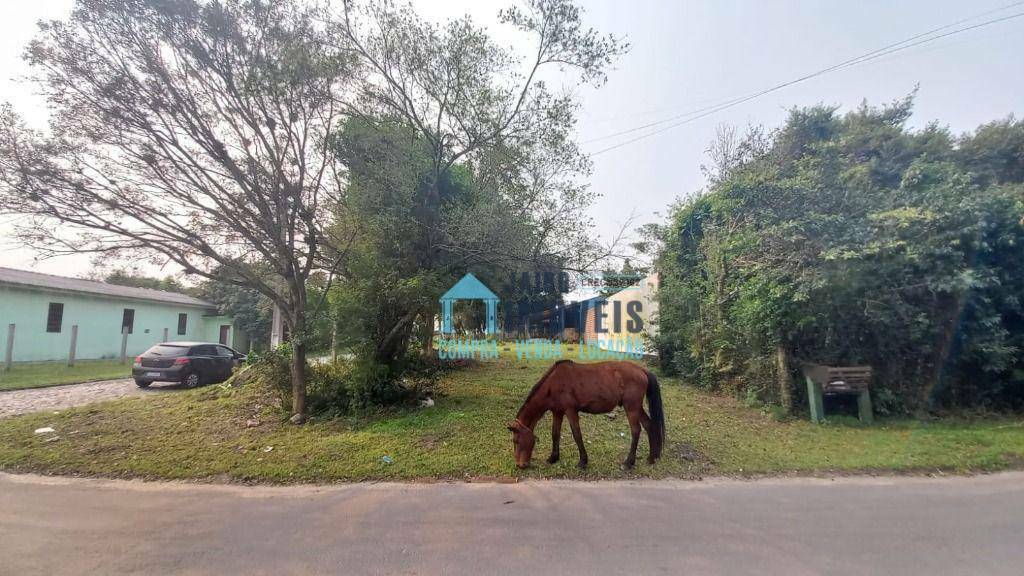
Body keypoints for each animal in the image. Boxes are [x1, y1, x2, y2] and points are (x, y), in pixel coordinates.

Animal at [509, 360, 667, 469]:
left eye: (516, 441)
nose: (520, 465)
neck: (554, 383)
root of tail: (642, 370)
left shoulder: (570, 410)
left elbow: (577, 434)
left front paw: (582, 461)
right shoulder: (557, 411)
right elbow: (555, 433)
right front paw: (553, 458)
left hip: (631, 407)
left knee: (636, 430)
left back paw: (628, 462)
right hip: (636, 407)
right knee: (649, 426)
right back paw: (651, 458)